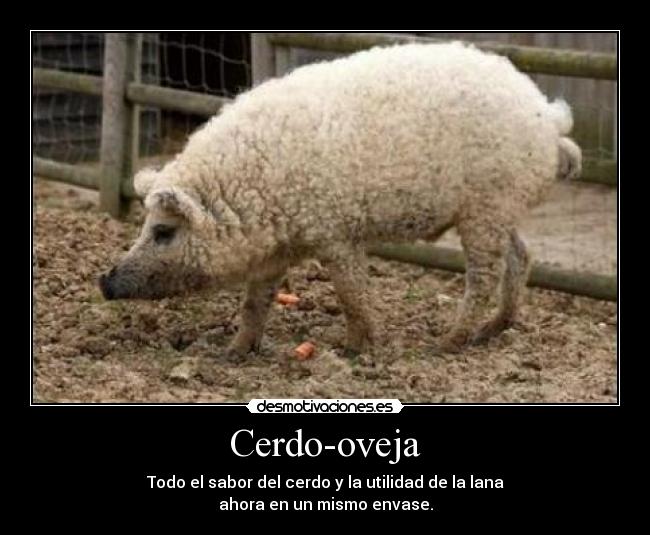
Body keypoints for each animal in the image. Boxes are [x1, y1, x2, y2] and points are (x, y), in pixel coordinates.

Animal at [99, 42, 582, 357]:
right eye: (145, 227)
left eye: (163, 231)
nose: (104, 281)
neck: (255, 191)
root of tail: (548, 116)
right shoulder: (278, 250)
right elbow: (256, 300)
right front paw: (233, 353)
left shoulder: (335, 231)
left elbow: (351, 291)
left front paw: (356, 349)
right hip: (502, 209)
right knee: (522, 256)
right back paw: (491, 332)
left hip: (486, 207)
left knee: (484, 275)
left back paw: (445, 344)